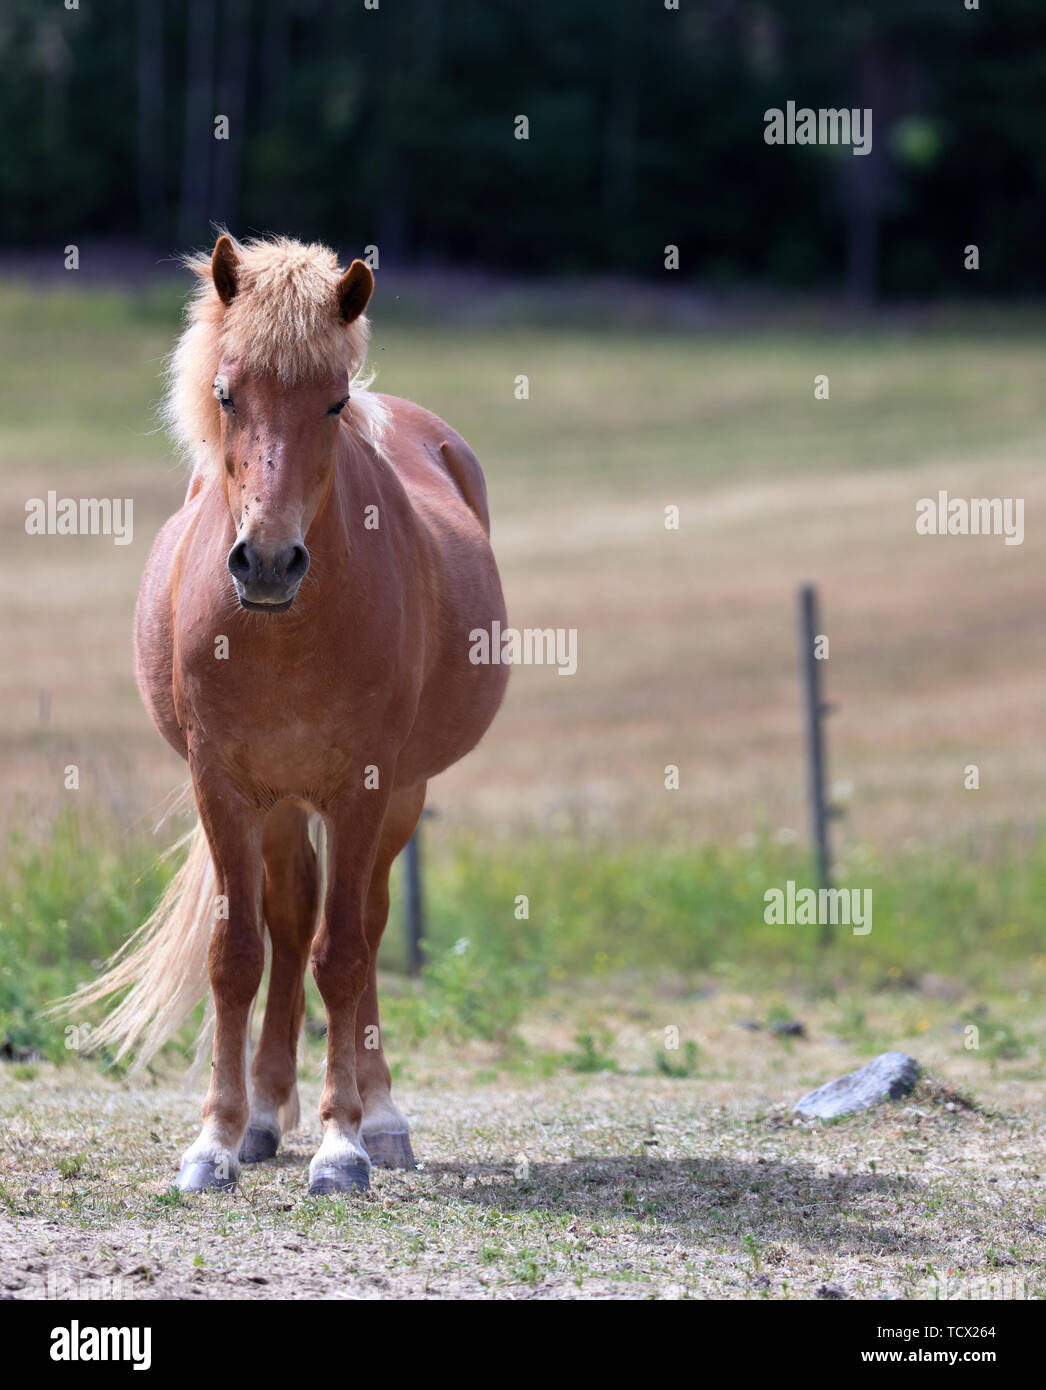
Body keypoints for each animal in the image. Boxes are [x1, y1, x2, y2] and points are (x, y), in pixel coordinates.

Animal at [65, 234, 508, 1194]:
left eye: (334, 402)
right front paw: (216, 1140)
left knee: (362, 928)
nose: (267, 562)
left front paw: (344, 1145)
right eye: (227, 393)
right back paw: (266, 1115)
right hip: (279, 808)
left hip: (397, 796)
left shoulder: (363, 787)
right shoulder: (225, 786)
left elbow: (342, 957)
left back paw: (380, 1117)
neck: (282, 636)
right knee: (294, 920)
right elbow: (239, 954)